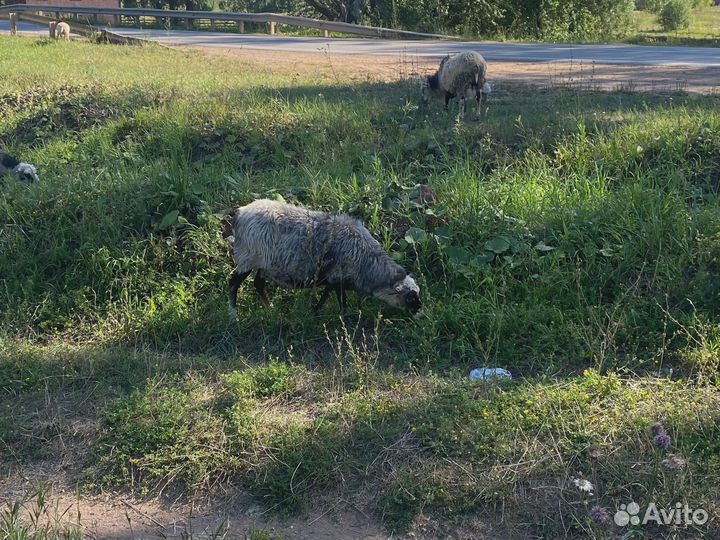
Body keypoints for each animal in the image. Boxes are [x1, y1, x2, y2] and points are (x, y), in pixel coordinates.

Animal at [228, 199, 421, 316]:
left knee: (258, 284)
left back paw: (270, 310)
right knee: (233, 283)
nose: (420, 311)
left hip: (264, 264)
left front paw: (315, 310)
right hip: (247, 259)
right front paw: (342, 318)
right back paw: (233, 315)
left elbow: (326, 295)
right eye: (410, 297)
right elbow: (341, 302)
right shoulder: (338, 278)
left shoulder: (332, 280)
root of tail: (240, 213)